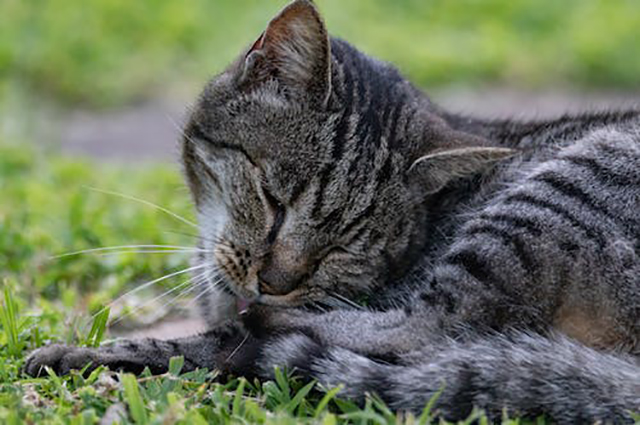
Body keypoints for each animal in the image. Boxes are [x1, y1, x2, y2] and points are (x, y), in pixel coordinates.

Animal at [22, 1, 636, 422]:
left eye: (345, 245)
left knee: (427, 330)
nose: (275, 284)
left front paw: (75, 352)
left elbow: (185, 344)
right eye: (274, 199)